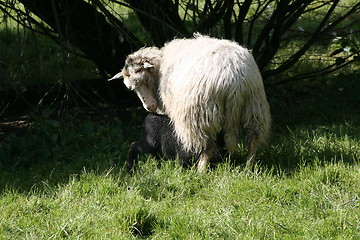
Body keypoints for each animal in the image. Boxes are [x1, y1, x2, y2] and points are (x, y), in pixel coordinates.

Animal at [109, 33, 270, 172]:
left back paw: (201, 170)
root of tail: (233, 78)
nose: (150, 107)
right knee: (253, 139)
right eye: (131, 88)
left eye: (146, 79)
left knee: (207, 146)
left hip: (200, 114)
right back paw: (249, 166)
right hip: (254, 105)